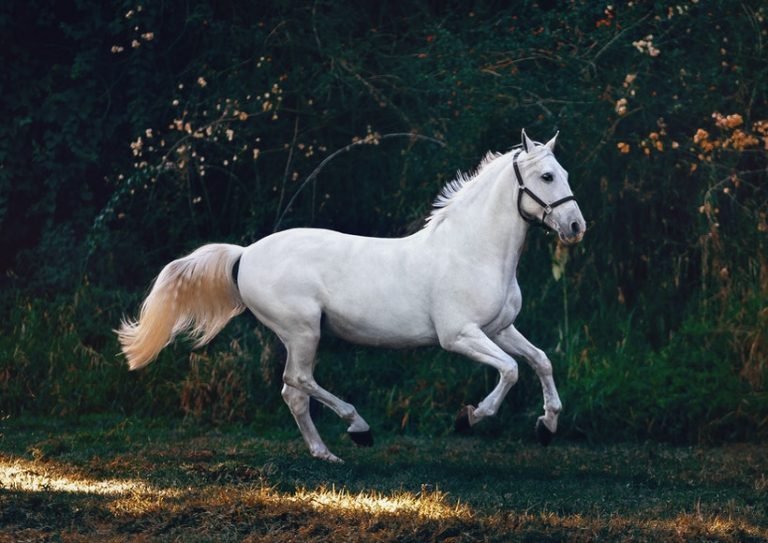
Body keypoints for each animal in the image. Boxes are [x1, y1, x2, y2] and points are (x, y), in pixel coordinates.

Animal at [117, 129, 586, 462]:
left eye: (565, 174)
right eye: (547, 176)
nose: (576, 227)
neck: (472, 250)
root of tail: (245, 254)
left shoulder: (500, 328)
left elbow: (540, 361)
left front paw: (547, 426)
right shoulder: (460, 336)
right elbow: (510, 370)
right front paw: (469, 417)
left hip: (301, 335)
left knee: (293, 392)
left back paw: (326, 453)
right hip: (303, 331)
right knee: (298, 382)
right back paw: (358, 429)